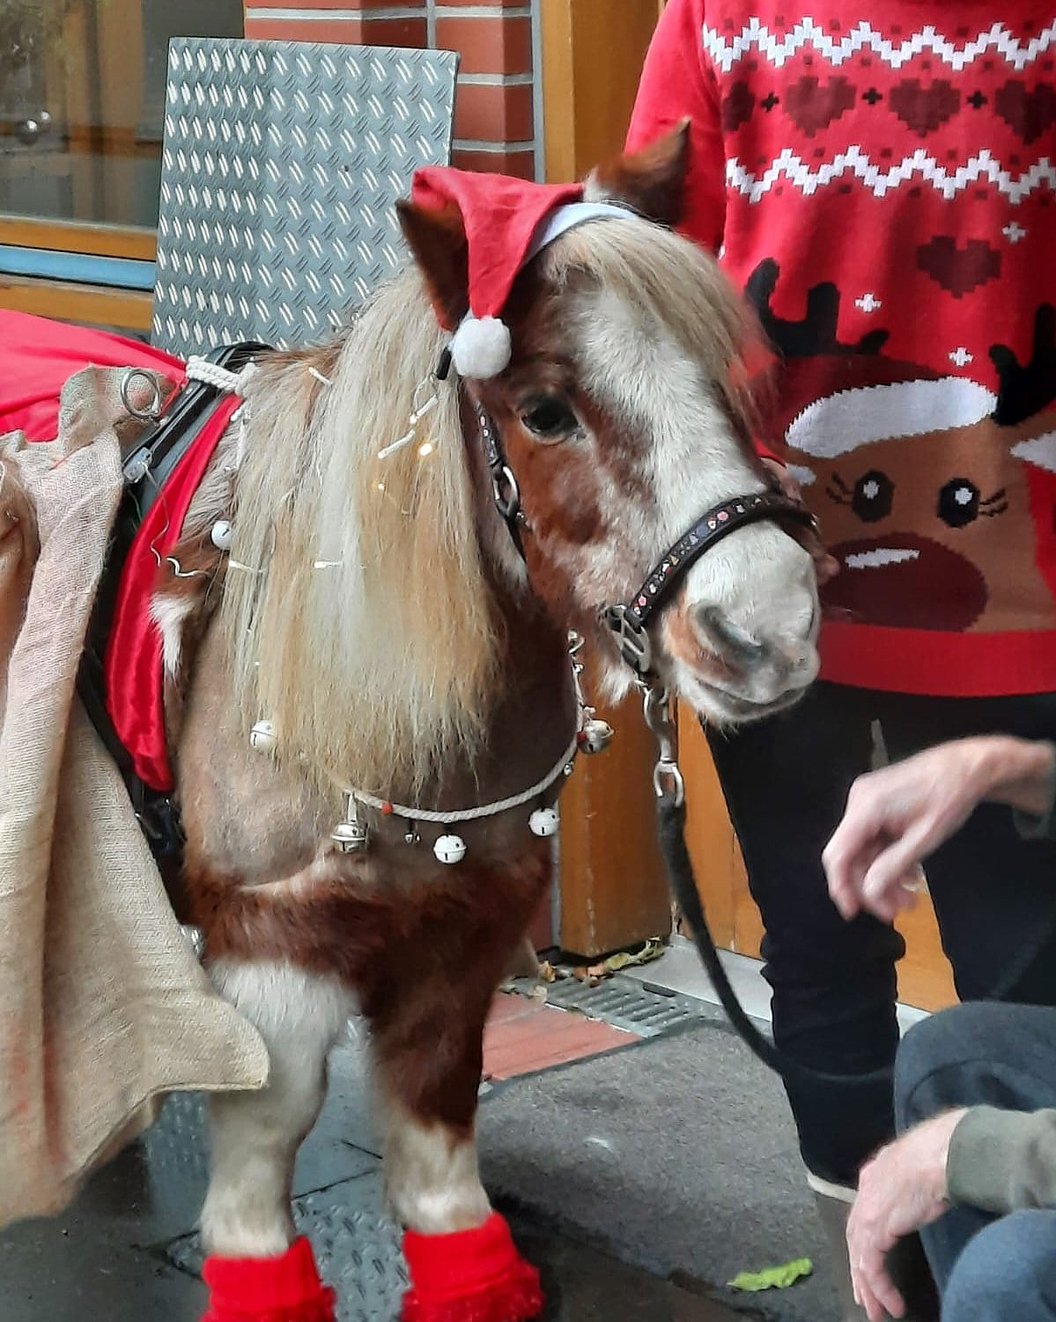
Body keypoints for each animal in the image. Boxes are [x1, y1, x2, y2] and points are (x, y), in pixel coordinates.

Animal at [148, 128, 821, 1320]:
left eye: (720, 377)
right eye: (545, 410)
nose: (769, 628)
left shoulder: (466, 926)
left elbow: (435, 1107)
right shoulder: (270, 938)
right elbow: (270, 1128)